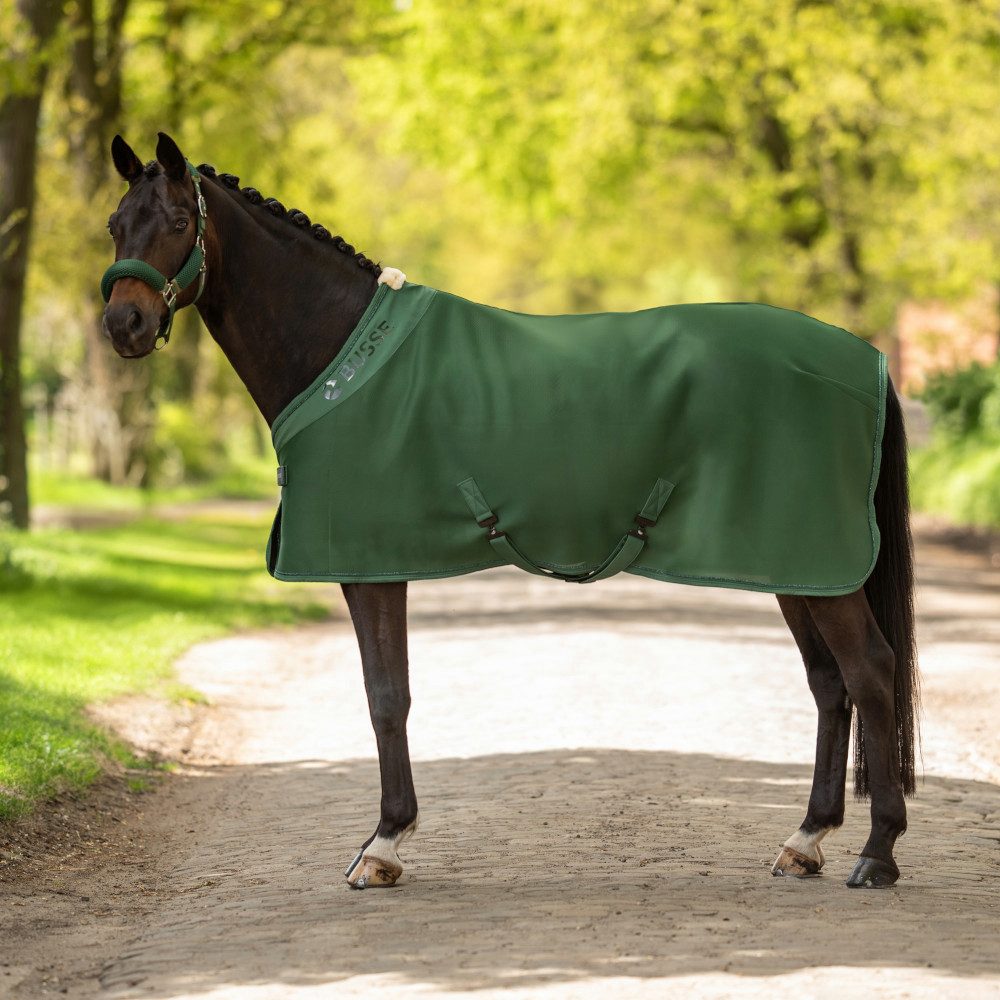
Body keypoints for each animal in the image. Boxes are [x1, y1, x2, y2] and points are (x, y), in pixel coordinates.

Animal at [99, 132, 918, 891]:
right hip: (796, 565)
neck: (337, 351)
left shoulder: (371, 565)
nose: (123, 326)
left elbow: (386, 696)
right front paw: (387, 839)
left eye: (179, 220)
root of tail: (866, 360)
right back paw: (806, 840)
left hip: (820, 565)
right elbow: (387, 693)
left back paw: (877, 853)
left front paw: (384, 845)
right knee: (829, 683)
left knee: (871, 673)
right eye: (114, 224)